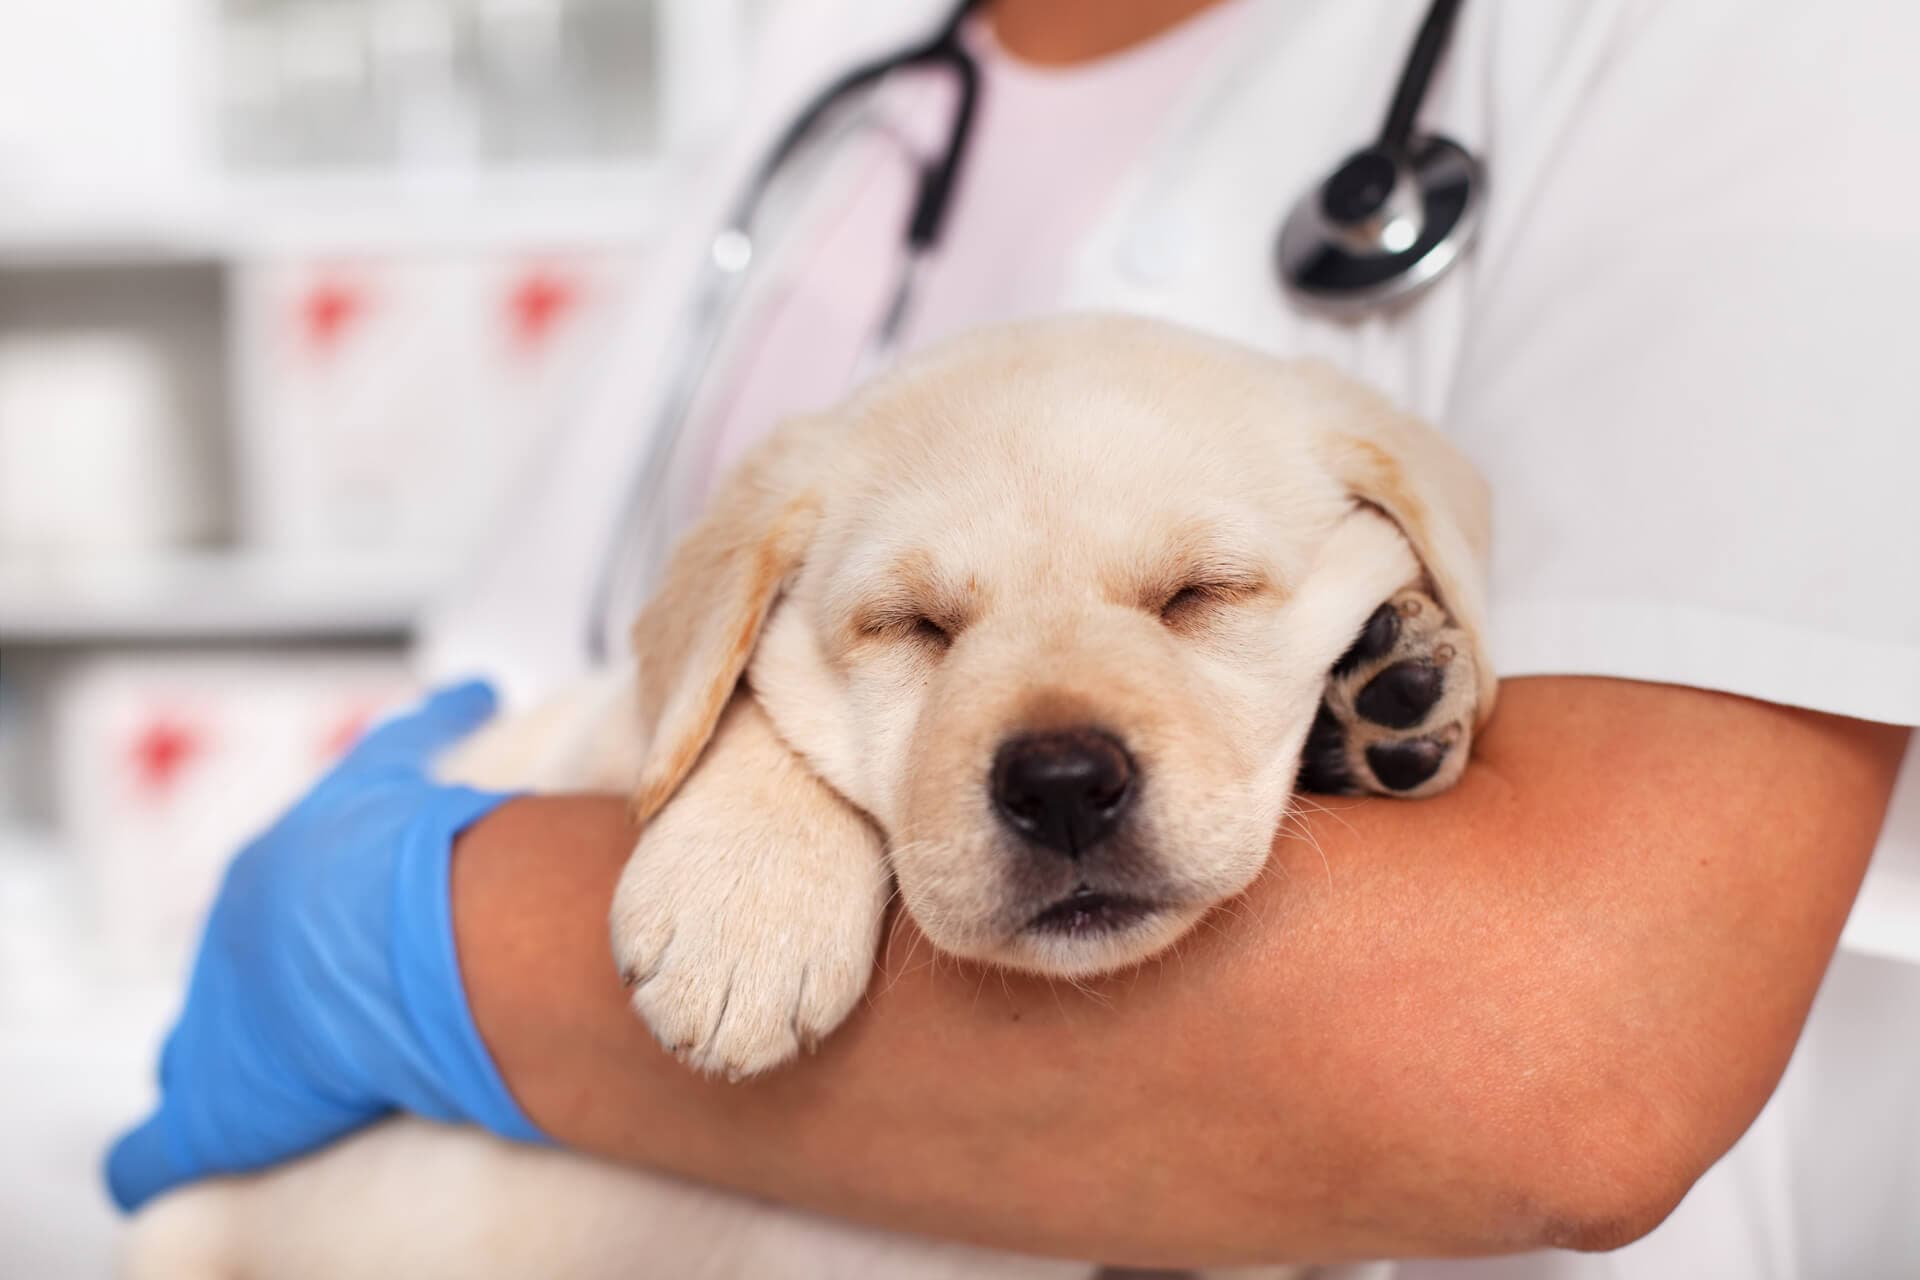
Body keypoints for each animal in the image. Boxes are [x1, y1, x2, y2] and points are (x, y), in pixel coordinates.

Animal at [127, 312, 1489, 1280]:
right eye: (914, 626)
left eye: (1199, 594)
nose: (1062, 785)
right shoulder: (602, 737)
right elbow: (738, 701)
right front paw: (743, 912)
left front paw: (1405, 671)